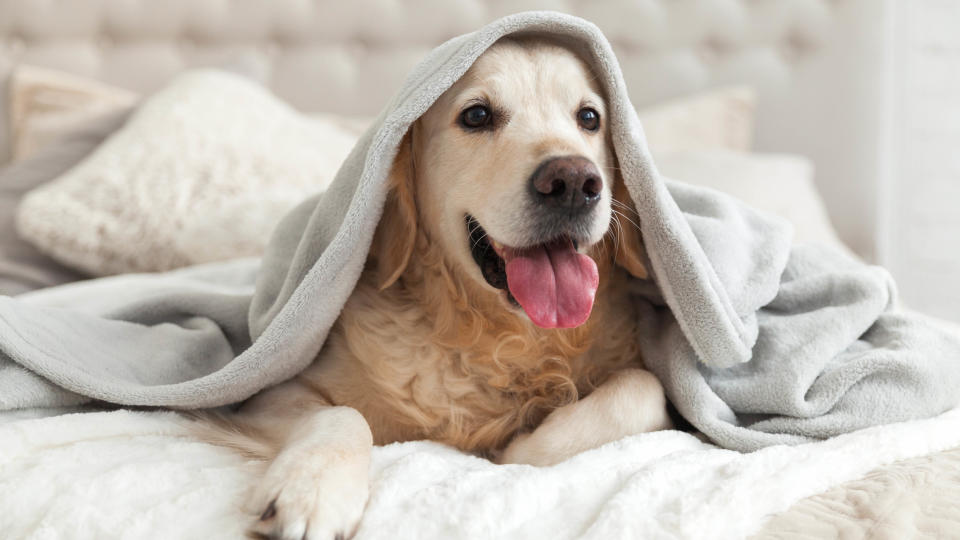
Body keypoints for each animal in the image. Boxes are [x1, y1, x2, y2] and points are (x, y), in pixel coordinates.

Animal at [199, 37, 672, 540]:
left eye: (589, 117)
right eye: (477, 115)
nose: (574, 182)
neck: (499, 339)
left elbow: (643, 388)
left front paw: (522, 447)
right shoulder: (262, 395)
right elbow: (341, 413)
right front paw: (311, 489)